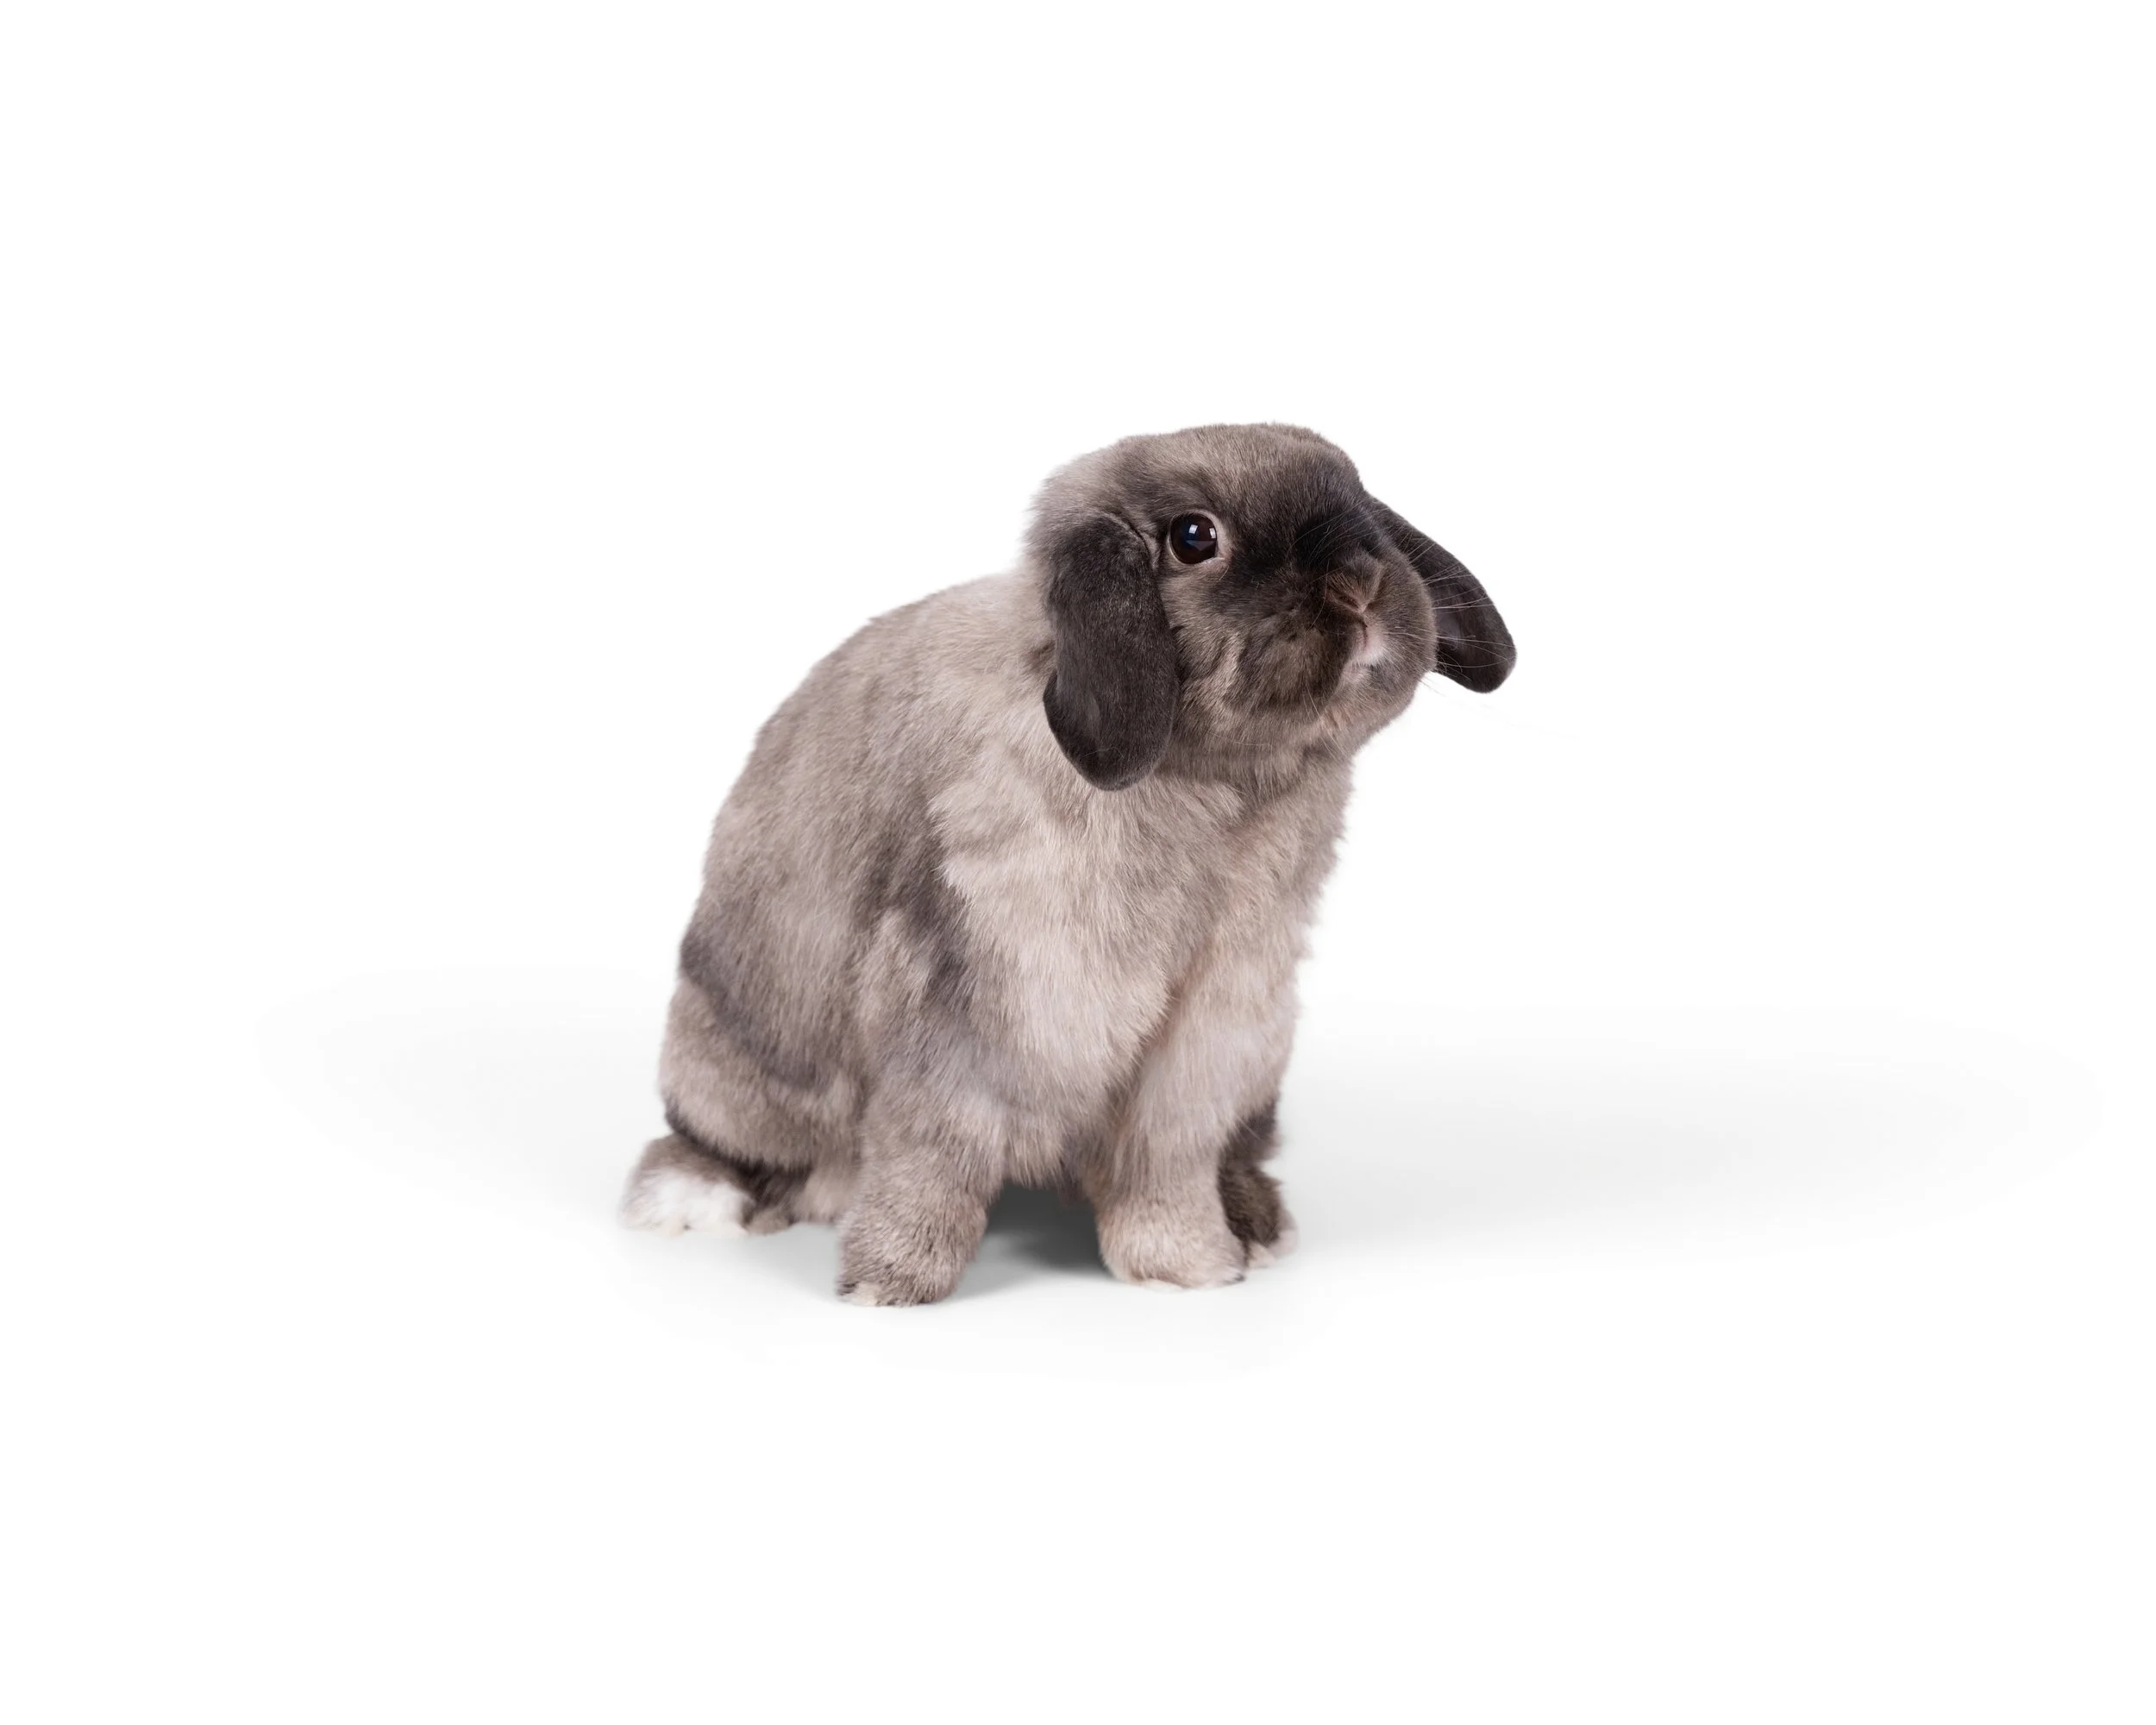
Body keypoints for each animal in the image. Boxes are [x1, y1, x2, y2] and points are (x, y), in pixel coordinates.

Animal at [619, 423, 1514, 1303]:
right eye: (1195, 537)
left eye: (1358, 496)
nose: (1362, 581)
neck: (1216, 787)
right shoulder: (974, 1004)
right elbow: (931, 1155)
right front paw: (890, 1281)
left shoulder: (1207, 1033)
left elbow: (1168, 1158)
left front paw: (1186, 1266)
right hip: (732, 1066)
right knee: (714, 1141)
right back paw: (697, 1199)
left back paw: (1258, 1224)